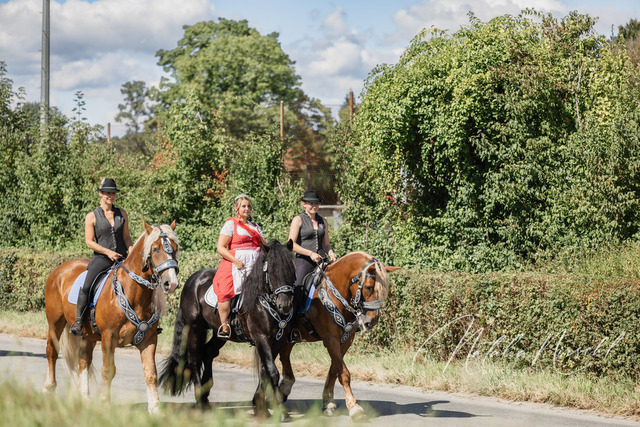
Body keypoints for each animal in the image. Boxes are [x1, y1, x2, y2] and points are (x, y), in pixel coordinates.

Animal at [42, 221, 180, 414]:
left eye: (174, 248)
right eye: (155, 249)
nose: (171, 283)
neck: (132, 292)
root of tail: (59, 269)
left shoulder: (149, 339)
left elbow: (151, 373)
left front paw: (155, 409)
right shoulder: (108, 338)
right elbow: (108, 371)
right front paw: (105, 404)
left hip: (88, 335)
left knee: (83, 361)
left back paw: (85, 398)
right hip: (55, 322)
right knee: (52, 351)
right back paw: (49, 388)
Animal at [159, 238, 296, 417]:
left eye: (291, 269)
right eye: (271, 271)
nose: (284, 305)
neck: (263, 300)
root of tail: (193, 279)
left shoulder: (278, 340)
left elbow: (265, 371)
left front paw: (260, 407)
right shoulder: (261, 337)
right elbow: (272, 371)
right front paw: (279, 410)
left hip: (219, 333)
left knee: (208, 352)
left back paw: (205, 394)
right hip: (194, 327)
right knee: (194, 358)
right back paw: (200, 398)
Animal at [277, 251, 400, 421]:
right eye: (368, 287)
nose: (371, 322)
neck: (335, 293)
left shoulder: (346, 339)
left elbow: (335, 369)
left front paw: (328, 403)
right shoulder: (331, 339)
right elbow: (344, 373)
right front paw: (355, 408)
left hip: (289, 339)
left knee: (284, 356)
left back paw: (283, 390)